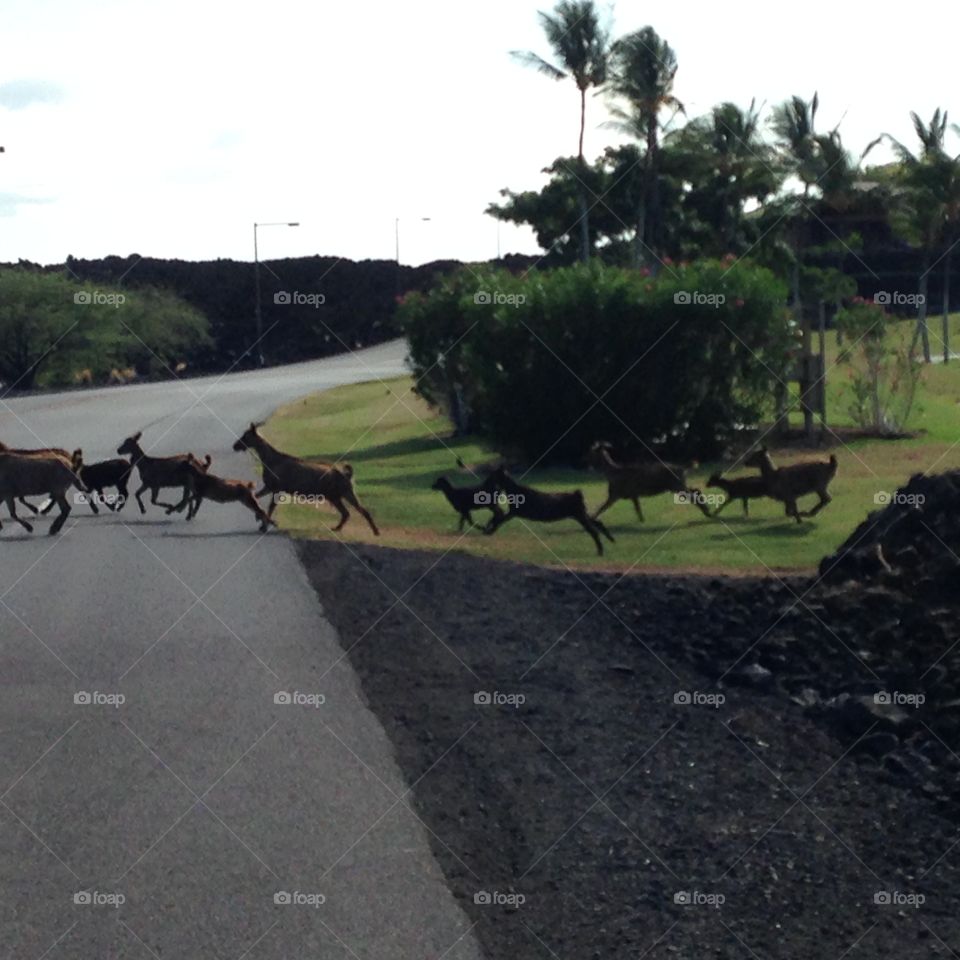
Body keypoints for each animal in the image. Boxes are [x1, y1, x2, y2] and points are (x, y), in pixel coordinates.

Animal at [233, 423, 379, 535]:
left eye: (246, 435)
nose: (235, 445)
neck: (268, 460)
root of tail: (348, 474)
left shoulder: (276, 488)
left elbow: (269, 507)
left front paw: (263, 525)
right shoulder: (270, 487)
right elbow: (257, 498)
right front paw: (261, 522)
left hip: (342, 493)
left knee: (358, 511)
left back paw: (375, 531)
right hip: (337, 495)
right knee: (349, 512)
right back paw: (339, 528)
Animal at [481, 466, 614, 556]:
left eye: (493, 475)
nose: (485, 482)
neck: (514, 490)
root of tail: (577, 495)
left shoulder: (514, 512)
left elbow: (499, 520)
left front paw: (488, 530)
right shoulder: (512, 513)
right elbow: (498, 518)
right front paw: (487, 529)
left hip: (580, 516)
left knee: (593, 531)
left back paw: (600, 550)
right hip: (581, 514)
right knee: (598, 522)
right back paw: (611, 539)